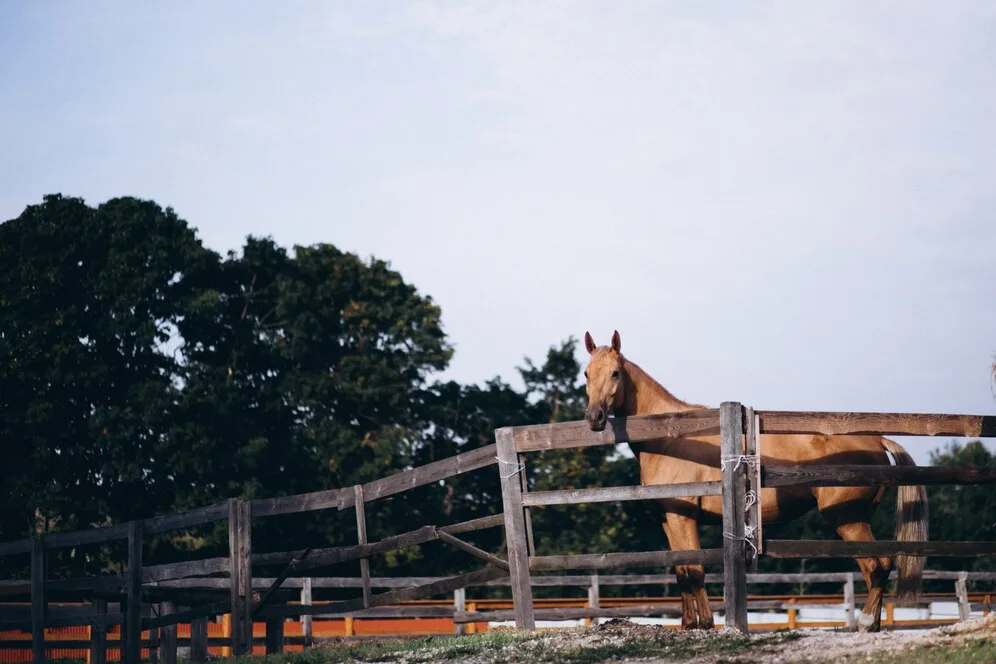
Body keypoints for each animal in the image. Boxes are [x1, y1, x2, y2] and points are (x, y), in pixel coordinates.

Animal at [580, 332, 928, 632]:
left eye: (615, 373)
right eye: (586, 374)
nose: (594, 418)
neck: (670, 437)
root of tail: (877, 439)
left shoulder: (684, 519)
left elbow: (695, 570)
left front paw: (706, 625)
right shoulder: (670, 520)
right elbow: (682, 571)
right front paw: (689, 625)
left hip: (848, 519)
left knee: (877, 567)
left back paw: (866, 623)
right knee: (877, 568)